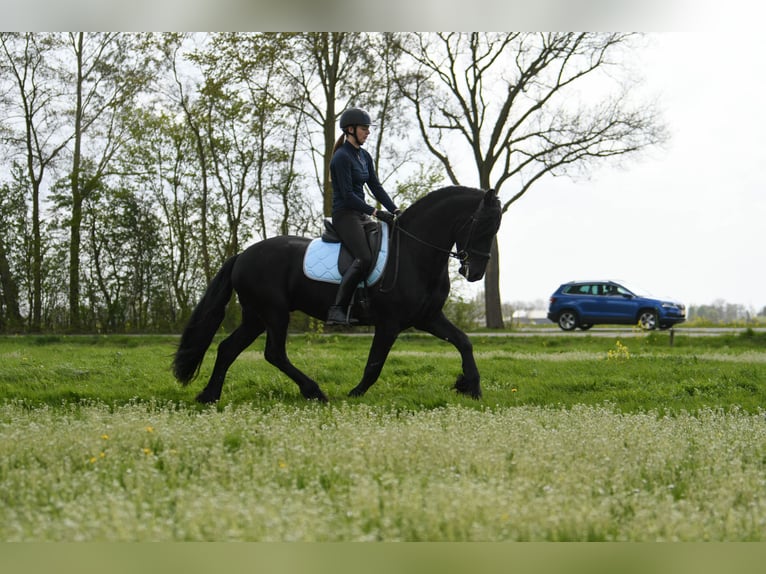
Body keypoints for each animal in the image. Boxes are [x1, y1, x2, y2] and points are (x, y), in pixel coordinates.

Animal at [172, 185, 503, 403]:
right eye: (481, 225)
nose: (474, 273)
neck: (413, 251)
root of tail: (242, 255)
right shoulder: (390, 323)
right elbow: (374, 364)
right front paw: (355, 393)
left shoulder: (428, 317)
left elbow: (464, 342)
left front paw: (471, 387)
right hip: (273, 313)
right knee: (274, 353)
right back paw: (314, 391)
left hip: (255, 316)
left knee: (228, 348)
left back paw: (209, 395)